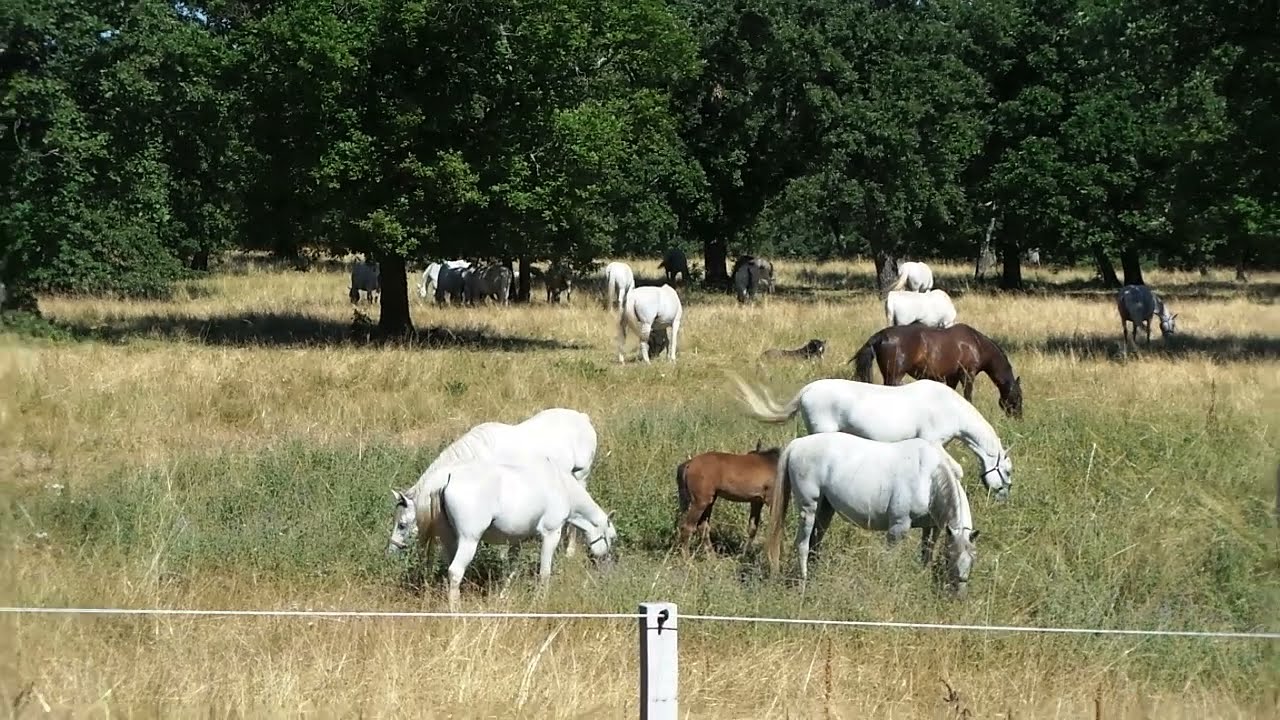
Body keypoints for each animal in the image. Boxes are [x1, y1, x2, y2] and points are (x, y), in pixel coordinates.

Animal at [386, 408, 598, 562]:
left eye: (402, 525)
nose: (391, 551)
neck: (481, 453)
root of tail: (583, 418)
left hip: (581, 477)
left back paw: (570, 551)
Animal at [410, 456, 617, 609]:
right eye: (612, 538)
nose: (605, 566)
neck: (561, 485)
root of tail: (447, 476)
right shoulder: (551, 533)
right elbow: (545, 571)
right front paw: (541, 600)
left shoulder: (517, 540)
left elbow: (512, 569)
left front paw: (503, 595)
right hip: (469, 540)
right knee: (455, 571)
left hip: (449, 539)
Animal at [731, 375, 1013, 500]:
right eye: (1008, 472)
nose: (1002, 496)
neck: (948, 406)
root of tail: (807, 390)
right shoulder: (933, 441)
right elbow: (956, 469)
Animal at [764, 431, 979, 595]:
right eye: (950, 557)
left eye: (973, 559)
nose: (959, 595)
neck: (929, 478)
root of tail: (797, 444)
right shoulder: (898, 528)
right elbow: (890, 560)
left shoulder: (932, 527)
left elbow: (926, 555)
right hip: (808, 508)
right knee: (802, 544)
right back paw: (803, 584)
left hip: (825, 509)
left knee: (815, 543)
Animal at [849, 324, 1023, 418]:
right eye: (1018, 398)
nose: (1019, 418)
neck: (977, 344)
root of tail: (881, 336)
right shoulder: (968, 375)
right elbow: (968, 397)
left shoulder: (952, 377)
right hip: (894, 376)